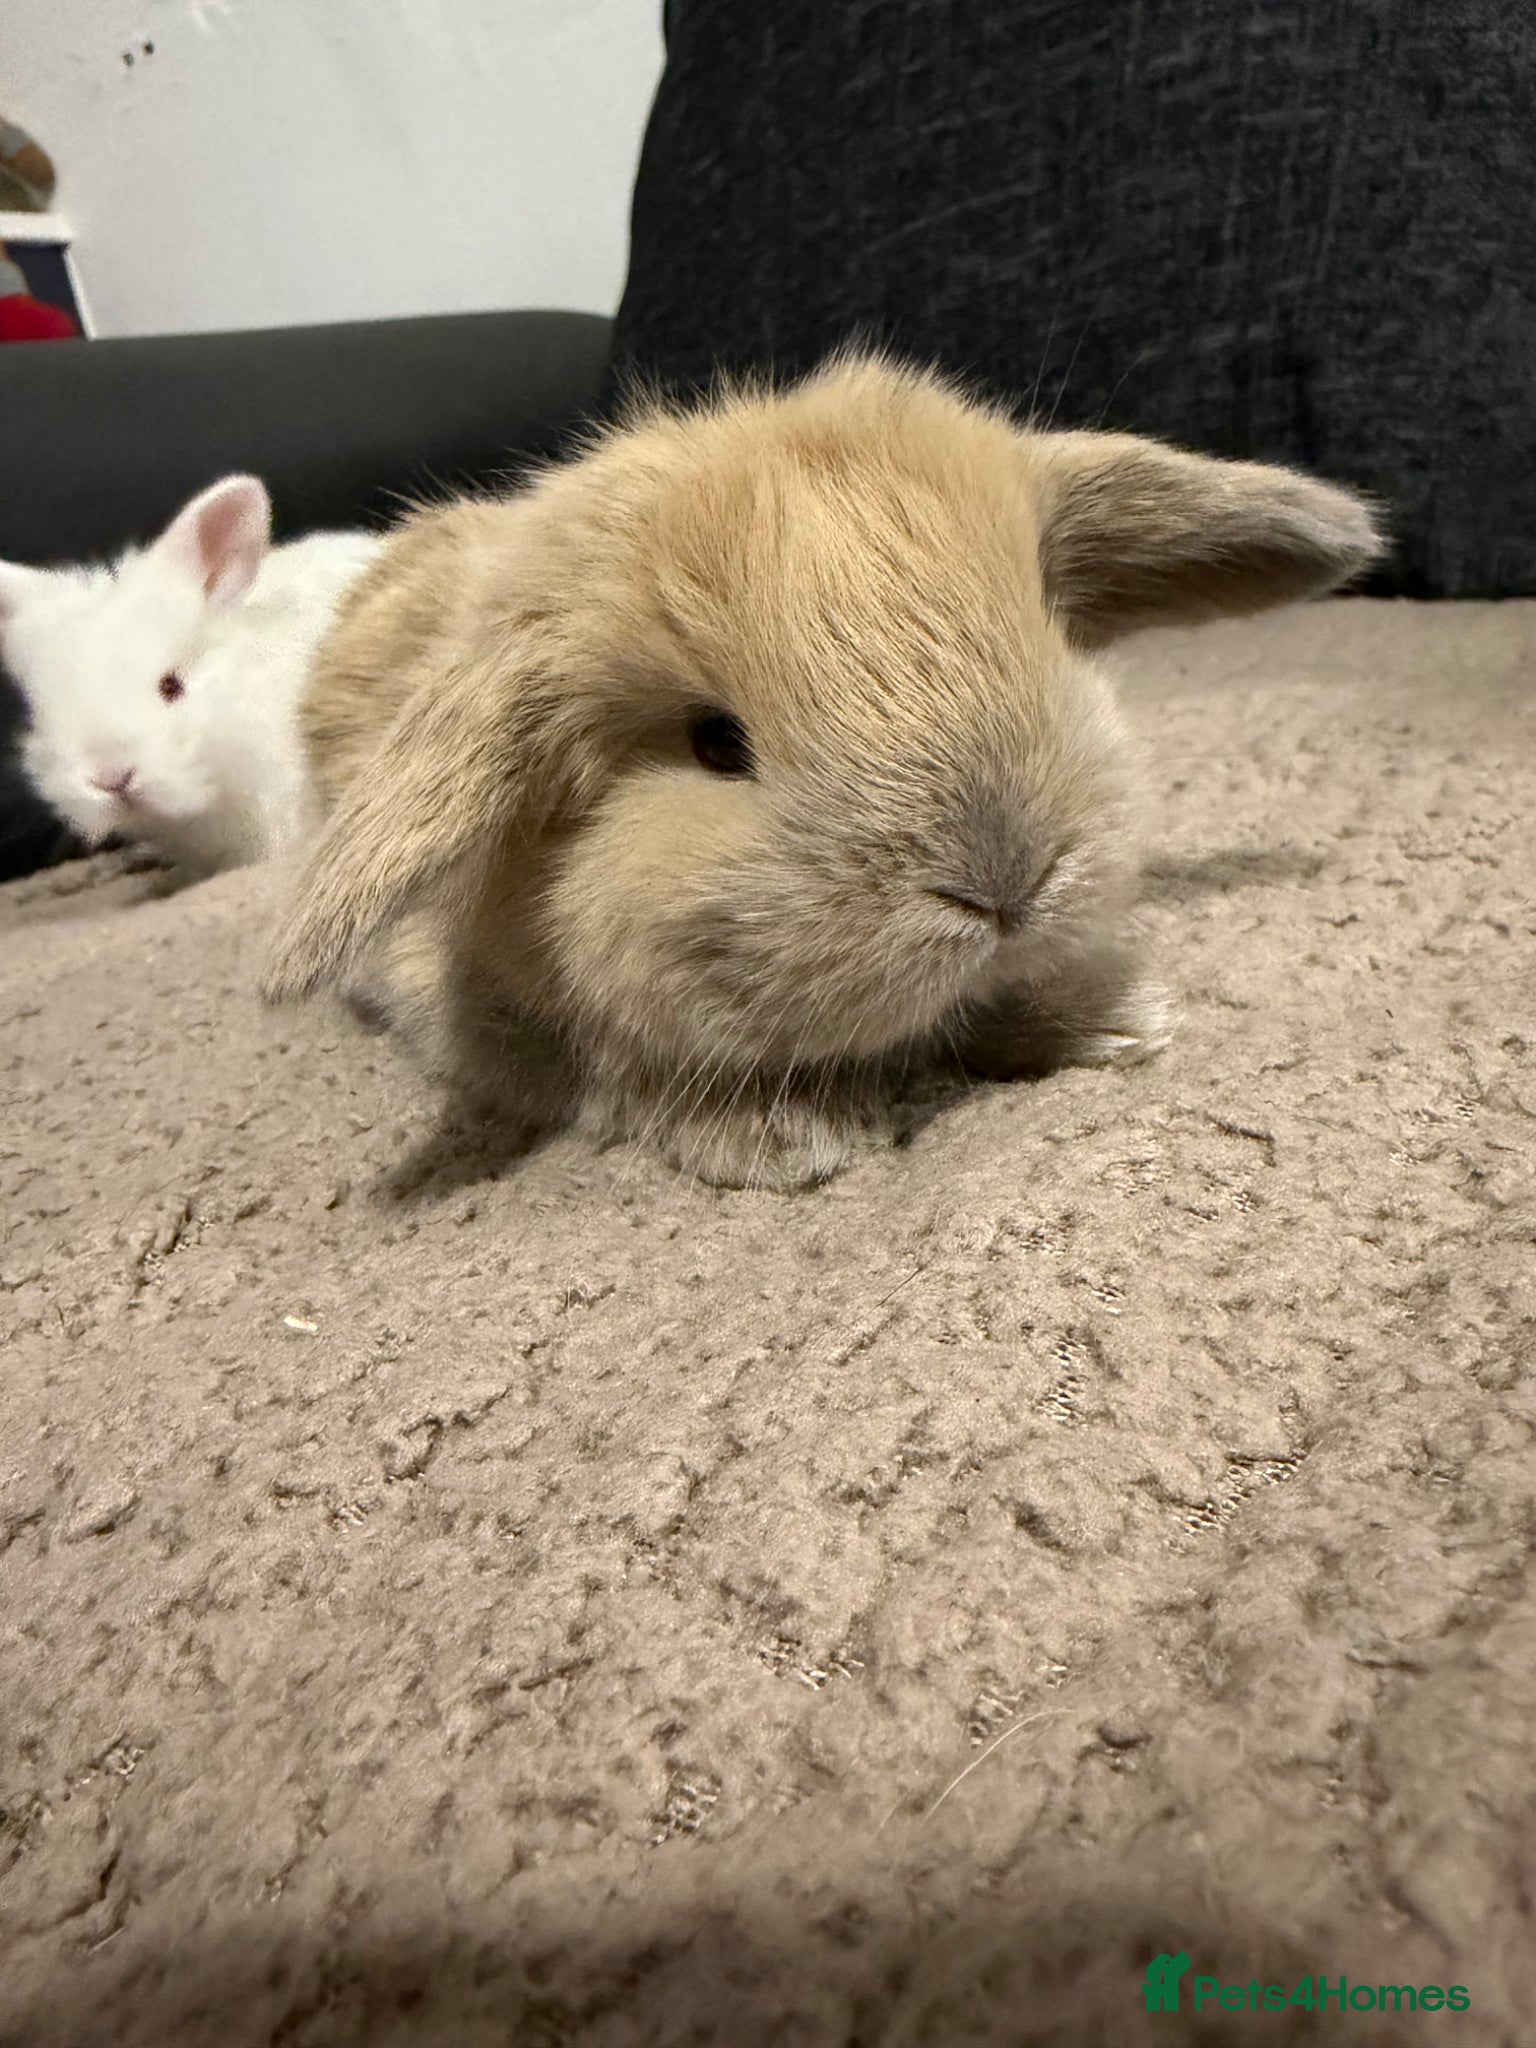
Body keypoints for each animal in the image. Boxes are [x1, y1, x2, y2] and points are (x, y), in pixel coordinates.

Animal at [263, 353, 1385, 1189]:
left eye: (1044, 631)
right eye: (717, 743)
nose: (1005, 883)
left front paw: (1116, 1018)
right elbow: (626, 1076)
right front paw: (788, 1137)